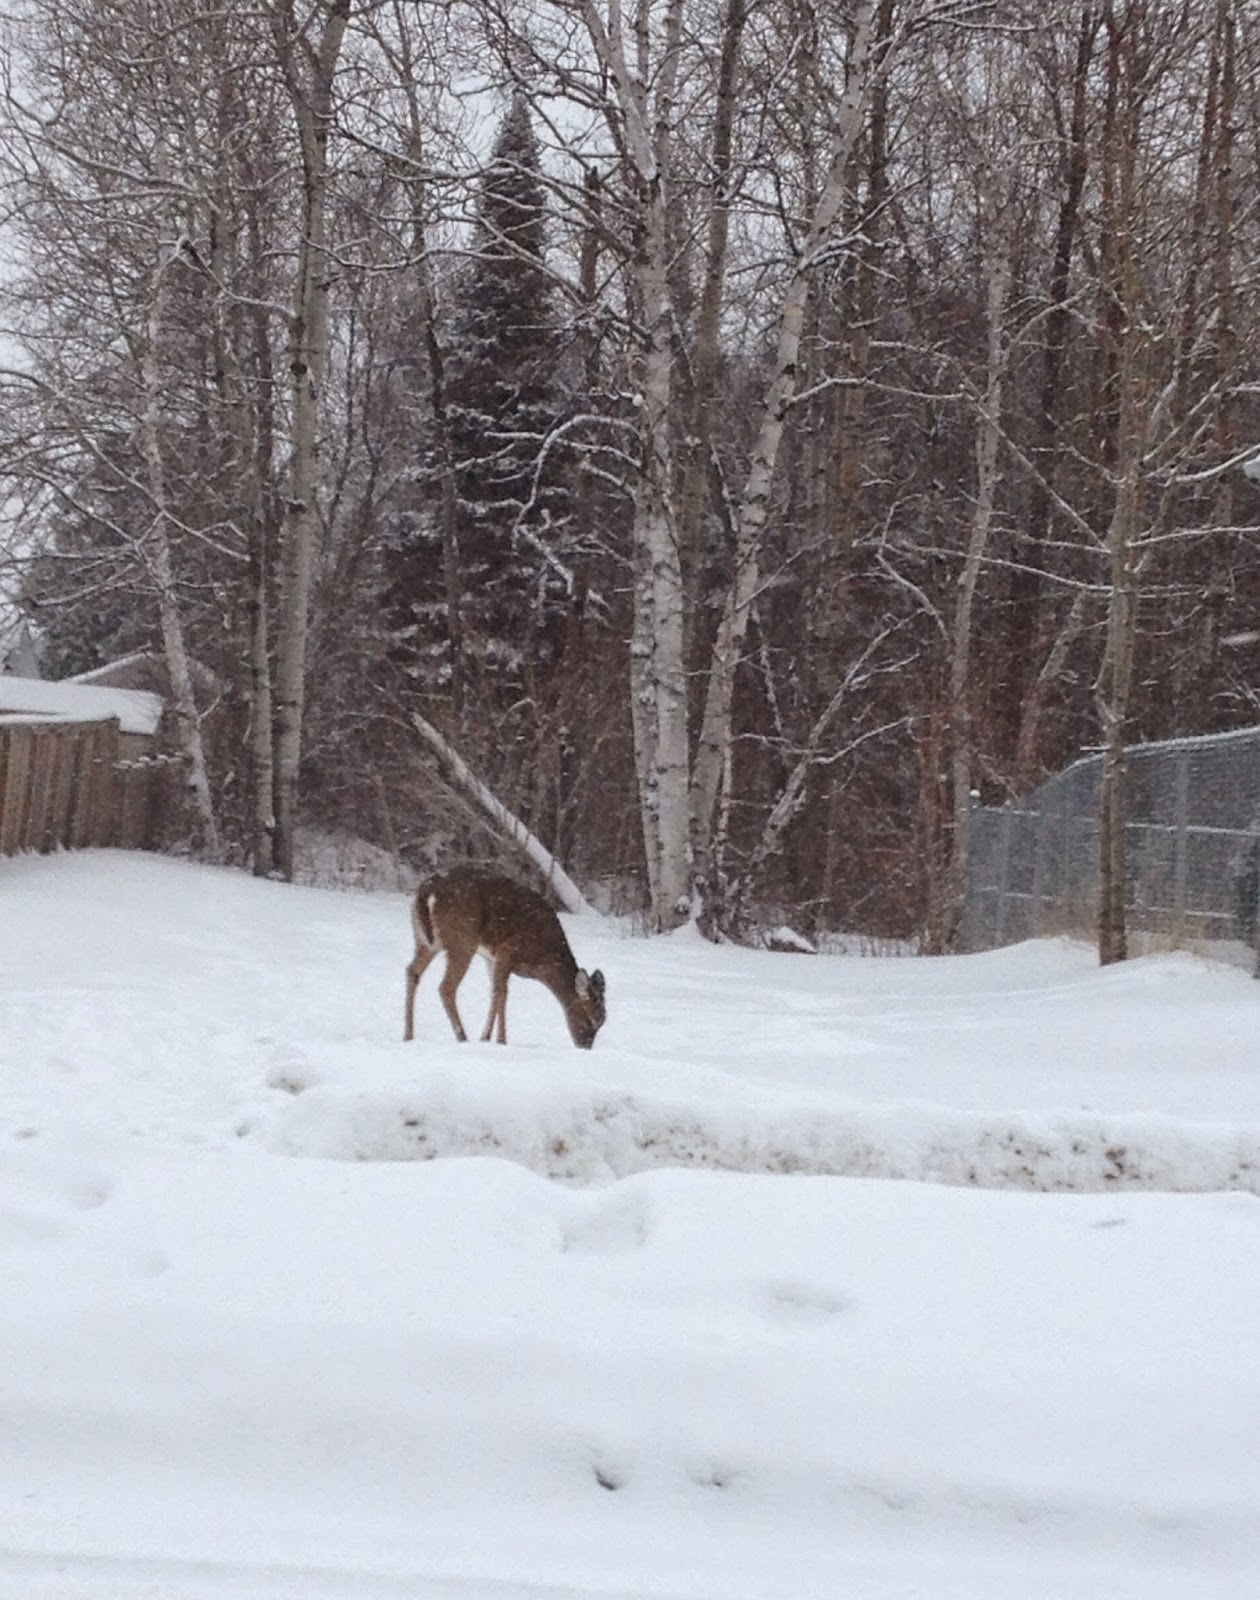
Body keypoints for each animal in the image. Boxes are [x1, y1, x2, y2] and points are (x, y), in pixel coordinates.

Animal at [403, 867, 607, 1050]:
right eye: (592, 1020)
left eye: (602, 1023)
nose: (586, 1047)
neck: (543, 960)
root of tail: (428, 890)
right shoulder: (507, 950)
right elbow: (502, 993)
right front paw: (501, 1040)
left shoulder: (491, 958)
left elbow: (494, 992)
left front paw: (485, 1037)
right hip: (462, 941)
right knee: (446, 987)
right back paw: (462, 1037)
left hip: (424, 940)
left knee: (412, 971)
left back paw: (408, 1035)